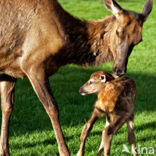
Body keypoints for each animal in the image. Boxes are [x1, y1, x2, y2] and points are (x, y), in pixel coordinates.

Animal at [0, 0, 152, 156]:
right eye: (118, 32)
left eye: (138, 40)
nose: (119, 69)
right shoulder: (32, 64)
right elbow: (52, 107)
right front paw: (64, 151)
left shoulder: (9, 70)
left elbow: (7, 107)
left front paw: (4, 151)